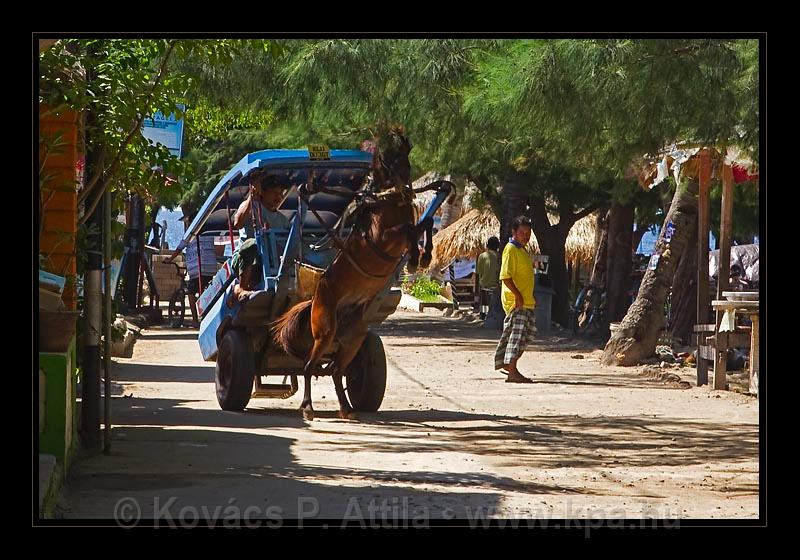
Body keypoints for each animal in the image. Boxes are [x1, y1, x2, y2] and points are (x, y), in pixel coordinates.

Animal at [270, 128, 432, 420]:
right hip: (324, 333)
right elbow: (409, 229)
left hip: (353, 337)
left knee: (336, 370)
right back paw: (308, 407)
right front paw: (416, 258)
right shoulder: (385, 239)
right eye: (392, 165)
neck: (384, 203)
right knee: (309, 366)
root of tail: (314, 298)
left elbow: (425, 224)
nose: (406, 193)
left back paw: (346, 409)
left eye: (407, 164)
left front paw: (422, 257)